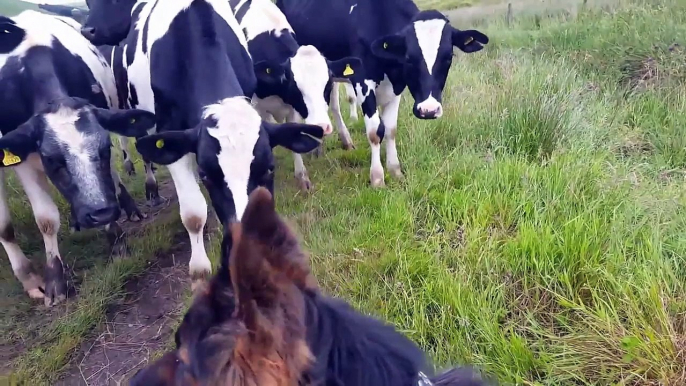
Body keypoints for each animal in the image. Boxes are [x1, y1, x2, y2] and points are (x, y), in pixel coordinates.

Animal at [0, 12, 156, 306]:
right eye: (53, 160)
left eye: (104, 149)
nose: (100, 213)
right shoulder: (23, 160)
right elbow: (43, 220)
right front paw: (49, 280)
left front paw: (116, 241)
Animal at [231, 0, 362, 191]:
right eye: (295, 87)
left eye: (328, 84)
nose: (322, 127)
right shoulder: (257, 106)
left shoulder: (293, 108)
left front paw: (302, 178)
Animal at [274, 0, 490, 187]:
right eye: (409, 58)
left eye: (448, 57)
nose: (428, 110)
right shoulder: (363, 81)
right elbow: (374, 132)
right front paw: (377, 178)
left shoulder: (396, 88)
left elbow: (391, 129)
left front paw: (395, 170)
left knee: (331, 103)